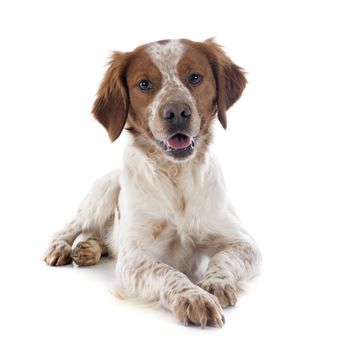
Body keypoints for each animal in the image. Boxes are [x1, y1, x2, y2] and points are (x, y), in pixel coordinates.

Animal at [43, 38, 262, 328]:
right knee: (69, 228)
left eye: (195, 77)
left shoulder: (244, 243)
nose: (177, 111)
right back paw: (60, 248)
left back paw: (88, 249)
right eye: (144, 84)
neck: (176, 177)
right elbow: (167, 272)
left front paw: (216, 283)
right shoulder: (135, 259)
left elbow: (222, 259)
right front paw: (193, 298)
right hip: (101, 195)